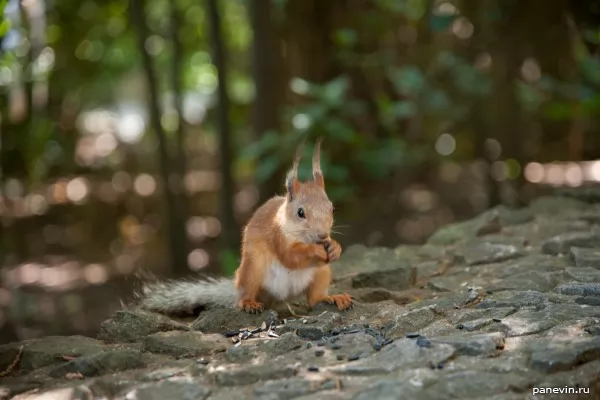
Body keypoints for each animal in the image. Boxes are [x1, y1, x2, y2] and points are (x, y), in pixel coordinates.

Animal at [138, 141, 354, 316]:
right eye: (300, 212)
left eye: (332, 208)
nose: (322, 235)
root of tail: (280, 298)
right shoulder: (276, 235)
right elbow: (289, 256)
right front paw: (315, 250)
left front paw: (335, 247)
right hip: (252, 270)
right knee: (247, 293)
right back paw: (249, 303)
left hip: (321, 273)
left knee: (313, 299)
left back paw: (332, 298)